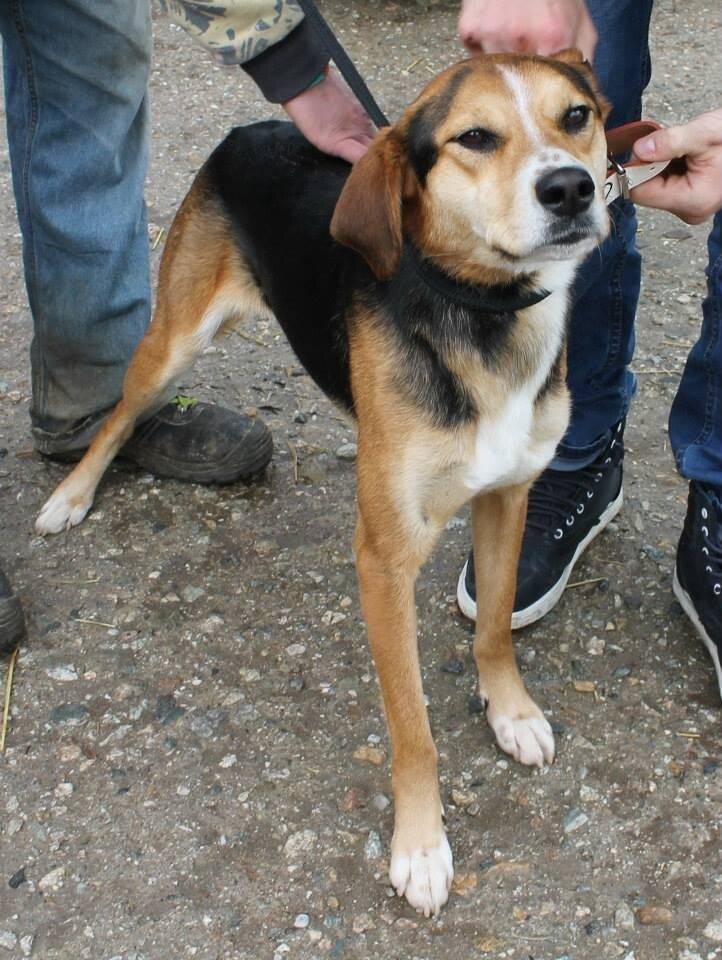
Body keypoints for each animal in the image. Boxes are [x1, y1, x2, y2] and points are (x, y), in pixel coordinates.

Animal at [36, 51, 611, 915]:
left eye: (576, 116)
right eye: (476, 137)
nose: (571, 188)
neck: (485, 313)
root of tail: (252, 128)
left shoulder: (508, 498)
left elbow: (495, 627)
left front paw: (509, 712)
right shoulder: (384, 557)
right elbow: (412, 727)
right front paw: (420, 847)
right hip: (174, 337)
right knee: (116, 418)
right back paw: (70, 495)